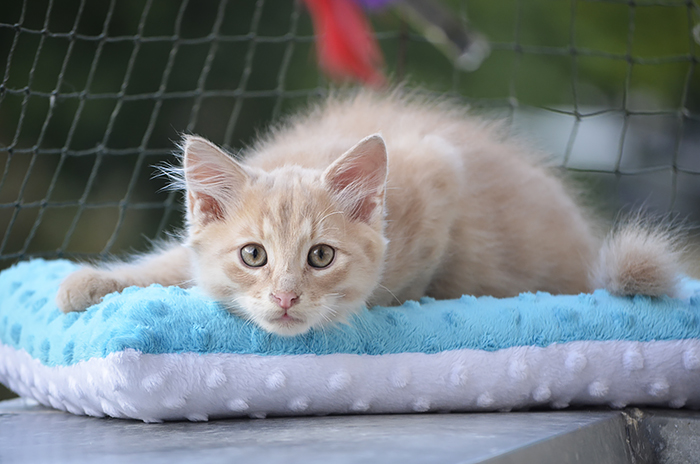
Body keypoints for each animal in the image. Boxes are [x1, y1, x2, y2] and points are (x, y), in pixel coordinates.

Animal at [56, 89, 685, 336]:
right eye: (253, 255)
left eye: (320, 257)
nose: (286, 297)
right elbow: (169, 267)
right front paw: (88, 284)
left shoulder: (440, 171)